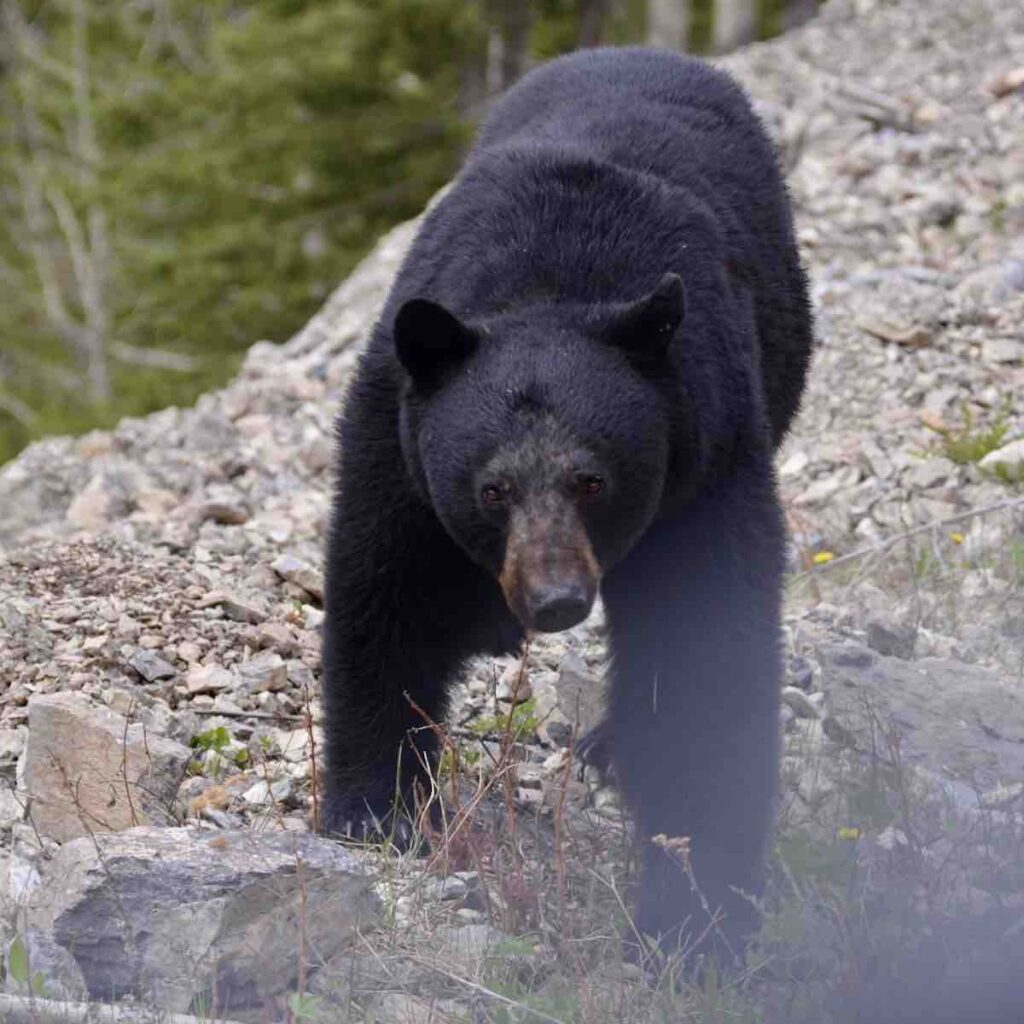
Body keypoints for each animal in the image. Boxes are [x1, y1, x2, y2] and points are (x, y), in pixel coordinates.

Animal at [323, 46, 811, 958]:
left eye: (593, 478)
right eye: (492, 487)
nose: (554, 599)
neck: (549, 283)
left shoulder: (705, 453)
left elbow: (704, 653)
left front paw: (694, 915)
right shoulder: (399, 443)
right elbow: (388, 598)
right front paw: (377, 809)